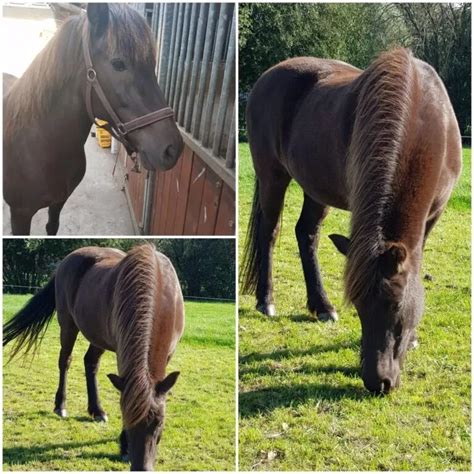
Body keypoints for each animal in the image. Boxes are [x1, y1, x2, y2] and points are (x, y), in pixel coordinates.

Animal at [3, 244, 185, 470]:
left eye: (159, 422)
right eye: (126, 418)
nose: (140, 467)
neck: (159, 290)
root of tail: (68, 259)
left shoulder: (168, 354)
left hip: (97, 337)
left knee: (90, 363)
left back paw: (97, 411)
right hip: (68, 325)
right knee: (65, 361)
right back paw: (60, 406)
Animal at [243, 49, 462, 396]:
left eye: (396, 308)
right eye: (359, 308)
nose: (378, 382)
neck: (424, 116)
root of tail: (268, 76)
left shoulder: (433, 216)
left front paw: (413, 338)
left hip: (315, 187)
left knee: (306, 234)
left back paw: (321, 306)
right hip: (272, 176)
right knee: (270, 232)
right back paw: (267, 301)